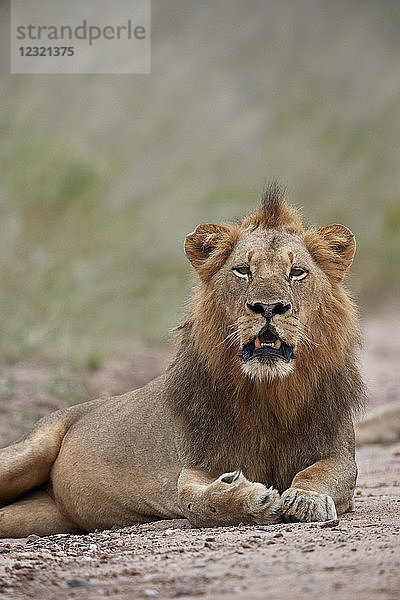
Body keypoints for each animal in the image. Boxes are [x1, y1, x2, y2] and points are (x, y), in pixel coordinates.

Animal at [0, 185, 366, 536]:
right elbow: (192, 500)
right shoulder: (198, 461)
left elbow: (321, 474)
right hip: (29, 450)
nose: (268, 307)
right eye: (243, 270)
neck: (268, 392)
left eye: (297, 272)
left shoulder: (338, 453)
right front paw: (251, 498)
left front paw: (306, 498)